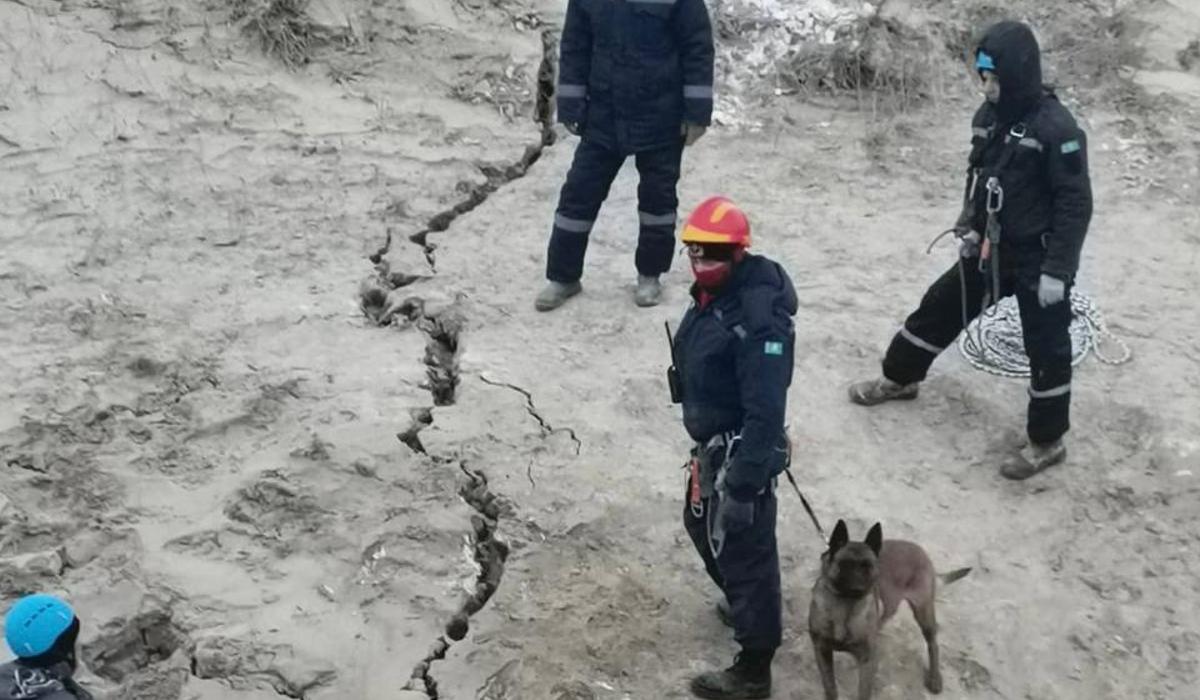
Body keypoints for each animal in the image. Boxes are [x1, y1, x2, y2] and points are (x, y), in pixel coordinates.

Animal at [806, 521, 964, 700]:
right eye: (845, 564)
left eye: (869, 566)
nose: (859, 588)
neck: (844, 606)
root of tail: (921, 551)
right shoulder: (822, 651)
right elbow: (830, 687)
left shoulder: (867, 660)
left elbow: (863, 692)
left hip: (923, 611)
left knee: (933, 643)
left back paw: (935, 678)